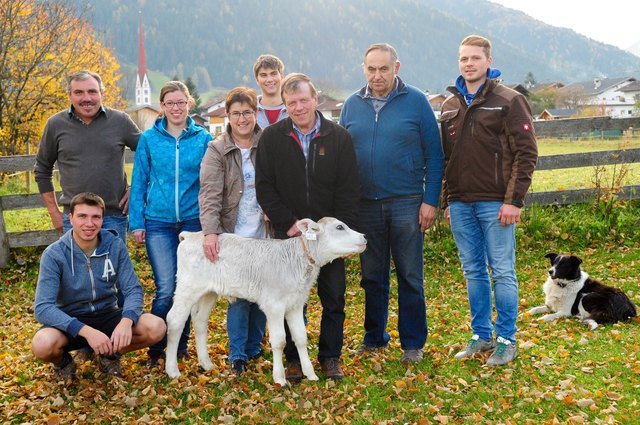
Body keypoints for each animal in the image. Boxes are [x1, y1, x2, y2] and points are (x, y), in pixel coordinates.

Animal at [165, 217, 364, 386]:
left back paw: (206, 364)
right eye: (339, 227)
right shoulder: (274, 305)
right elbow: (279, 341)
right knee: (174, 320)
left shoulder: (296, 303)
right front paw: (280, 378)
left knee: (199, 320)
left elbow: (301, 337)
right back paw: (172, 370)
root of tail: (190, 235)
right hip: (187, 287)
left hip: (209, 291)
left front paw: (310, 374)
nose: (364, 237)